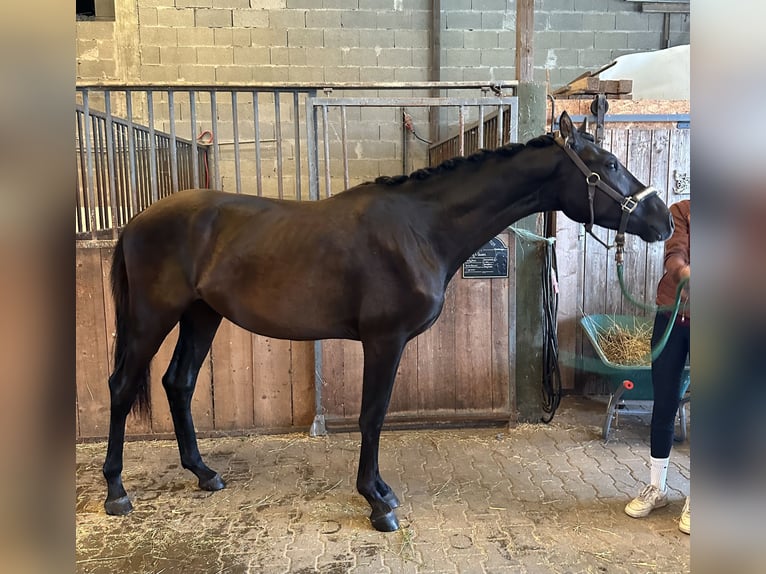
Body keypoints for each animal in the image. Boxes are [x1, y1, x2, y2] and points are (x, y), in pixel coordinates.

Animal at [100, 113, 672, 536]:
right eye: (609, 163)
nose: (663, 221)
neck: (420, 229)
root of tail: (136, 222)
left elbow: (374, 415)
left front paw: (378, 492)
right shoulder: (384, 339)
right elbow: (373, 416)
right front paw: (377, 502)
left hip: (202, 314)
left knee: (179, 382)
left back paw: (204, 473)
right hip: (152, 318)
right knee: (123, 386)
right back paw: (116, 492)